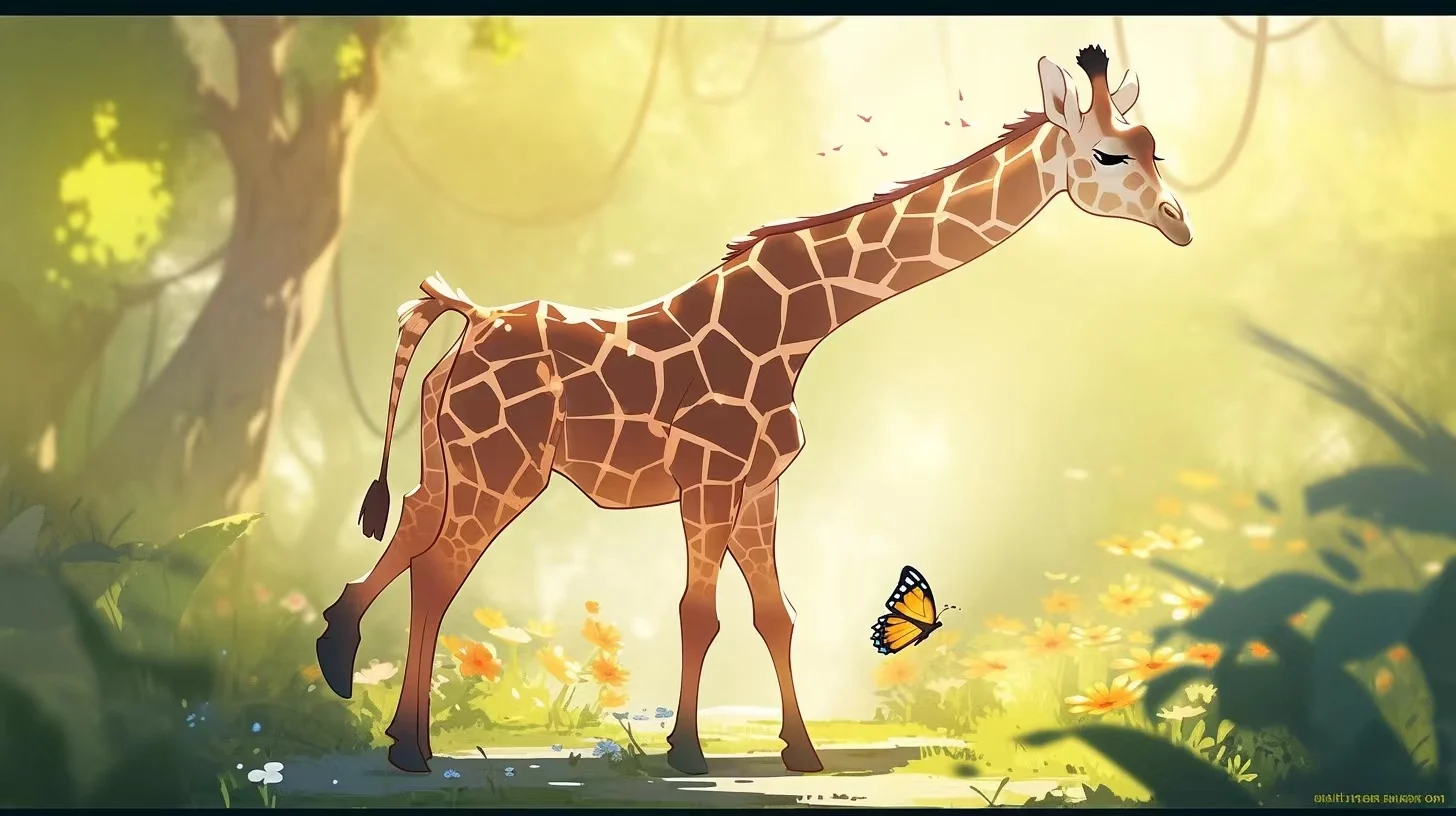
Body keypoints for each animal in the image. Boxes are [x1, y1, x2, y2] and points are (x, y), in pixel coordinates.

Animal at [316, 44, 1191, 776]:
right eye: (1108, 154)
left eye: (1159, 148)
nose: (1179, 223)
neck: (798, 322)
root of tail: (467, 320)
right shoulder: (709, 478)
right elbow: (698, 612)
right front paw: (690, 752)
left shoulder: (760, 483)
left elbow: (778, 613)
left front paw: (802, 753)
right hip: (505, 469)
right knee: (440, 567)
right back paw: (410, 748)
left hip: (452, 456)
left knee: (413, 527)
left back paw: (349, 667)